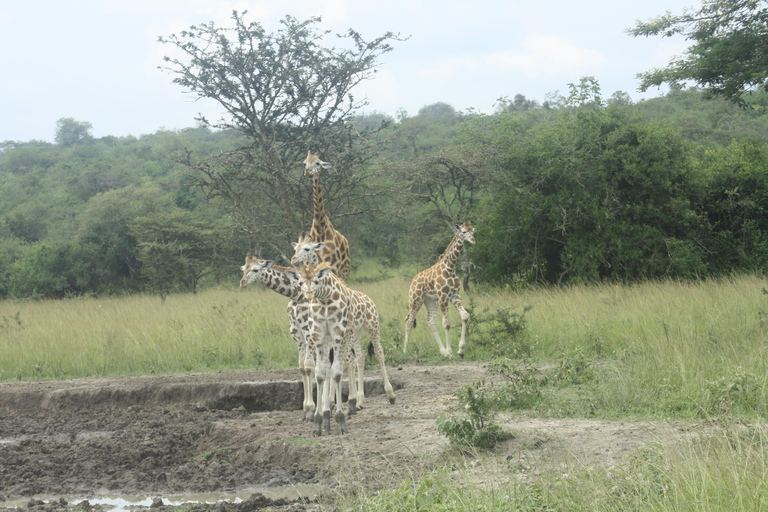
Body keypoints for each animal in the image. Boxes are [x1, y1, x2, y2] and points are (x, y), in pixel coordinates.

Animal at [238, 255, 362, 420]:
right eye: (243, 268)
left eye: (255, 269)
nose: (242, 282)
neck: (295, 294)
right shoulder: (296, 333)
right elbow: (303, 366)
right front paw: (307, 408)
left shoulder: (308, 331)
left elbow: (309, 366)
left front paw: (310, 409)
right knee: (334, 363)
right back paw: (331, 403)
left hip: (345, 333)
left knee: (349, 360)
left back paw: (353, 404)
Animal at [286, 264, 396, 436]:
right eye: (300, 282)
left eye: (317, 281)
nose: (308, 296)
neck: (325, 298)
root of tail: (369, 299)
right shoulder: (319, 334)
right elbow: (321, 373)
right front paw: (320, 420)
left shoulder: (338, 332)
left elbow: (337, 372)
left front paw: (339, 419)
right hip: (355, 332)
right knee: (360, 355)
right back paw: (359, 400)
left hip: (372, 326)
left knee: (379, 353)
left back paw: (390, 395)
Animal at [292, 150, 352, 282]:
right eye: (304, 163)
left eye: (318, 163)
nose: (308, 172)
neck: (320, 229)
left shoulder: (333, 265)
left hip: (345, 269)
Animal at [402, 222, 474, 358]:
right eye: (463, 232)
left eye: (473, 231)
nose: (473, 240)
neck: (450, 268)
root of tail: (413, 281)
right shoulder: (443, 296)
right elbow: (446, 323)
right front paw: (451, 352)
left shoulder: (455, 295)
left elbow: (465, 315)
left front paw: (460, 350)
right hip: (415, 300)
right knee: (409, 320)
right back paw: (405, 350)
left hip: (430, 301)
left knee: (430, 322)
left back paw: (443, 352)